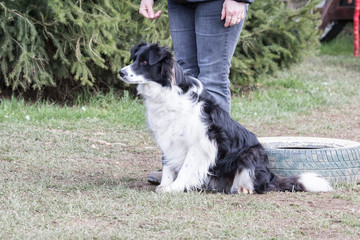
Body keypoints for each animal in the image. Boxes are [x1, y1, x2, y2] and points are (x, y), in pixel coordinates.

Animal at [119, 42, 334, 194]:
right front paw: (165, 185)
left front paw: (175, 187)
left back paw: (244, 188)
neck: (167, 91)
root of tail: (271, 177)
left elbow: (186, 166)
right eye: (134, 59)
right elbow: (168, 166)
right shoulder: (168, 136)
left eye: (145, 62)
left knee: (258, 185)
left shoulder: (201, 142)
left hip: (251, 153)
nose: (121, 72)